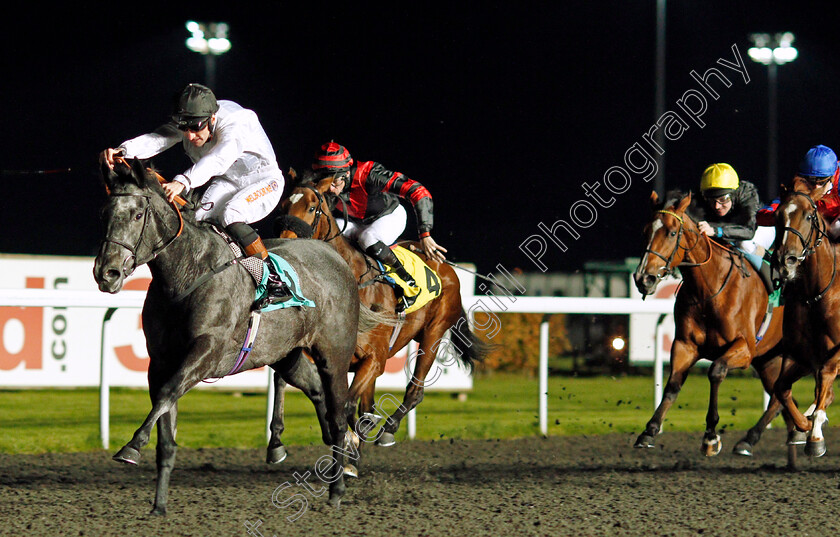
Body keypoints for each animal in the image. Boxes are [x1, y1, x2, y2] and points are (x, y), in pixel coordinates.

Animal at [272, 170, 488, 454]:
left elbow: (346, 404)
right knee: (369, 402)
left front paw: (348, 437)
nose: (285, 246)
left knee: (414, 391)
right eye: (283, 206)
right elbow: (285, 380)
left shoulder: (374, 358)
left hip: (433, 334)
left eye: (310, 207)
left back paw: (387, 429)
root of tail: (447, 268)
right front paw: (278, 441)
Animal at [632, 191, 796, 454]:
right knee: (781, 396)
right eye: (645, 231)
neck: (709, 289)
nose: (643, 278)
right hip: (769, 358)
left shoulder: (745, 348)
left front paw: (710, 435)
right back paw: (768, 436)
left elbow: (716, 371)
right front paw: (649, 431)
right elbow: (672, 385)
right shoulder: (685, 345)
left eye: (672, 233)